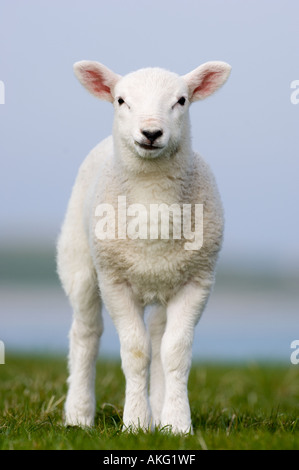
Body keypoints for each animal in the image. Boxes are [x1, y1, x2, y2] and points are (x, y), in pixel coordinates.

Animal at [57, 60, 233, 436]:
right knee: (86, 334)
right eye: (121, 100)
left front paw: (176, 423)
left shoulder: (196, 280)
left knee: (158, 334)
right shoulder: (115, 281)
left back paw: (159, 413)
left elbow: (175, 352)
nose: (151, 133)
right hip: (79, 262)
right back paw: (78, 415)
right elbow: (136, 352)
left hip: (166, 277)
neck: (152, 202)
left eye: (182, 100)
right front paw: (135, 424)